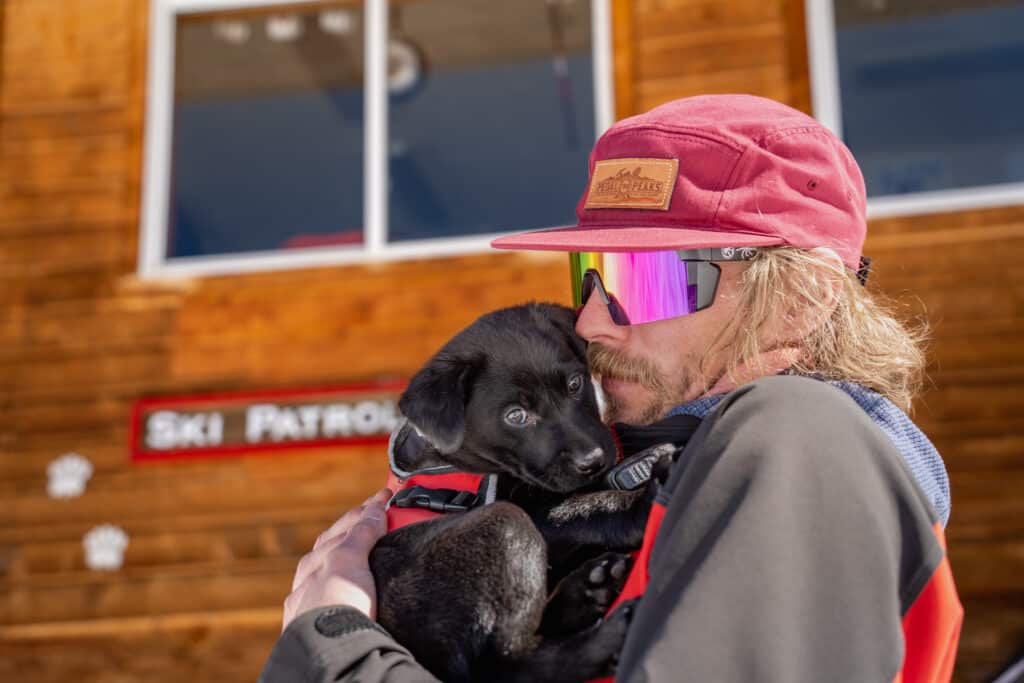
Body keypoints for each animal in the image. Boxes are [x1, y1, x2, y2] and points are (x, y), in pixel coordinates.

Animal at [370, 303, 655, 683]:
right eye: (516, 416)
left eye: (574, 384)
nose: (592, 460)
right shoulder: (531, 511)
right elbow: (577, 508)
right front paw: (641, 501)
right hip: (503, 526)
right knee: (505, 663)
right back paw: (606, 634)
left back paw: (590, 588)